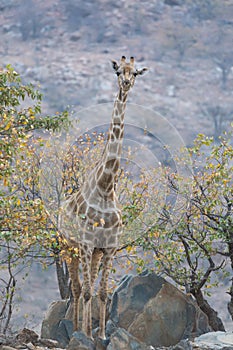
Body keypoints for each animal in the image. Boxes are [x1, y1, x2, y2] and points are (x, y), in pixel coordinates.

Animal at [59, 56, 147, 340]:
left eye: (136, 73)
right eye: (118, 71)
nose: (126, 83)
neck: (106, 188)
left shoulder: (107, 248)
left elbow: (103, 292)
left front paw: (101, 335)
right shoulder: (86, 244)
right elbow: (86, 291)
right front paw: (87, 335)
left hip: (92, 253)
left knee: (84, 289)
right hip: (68, 247)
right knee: (76, 289)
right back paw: (77, 329)